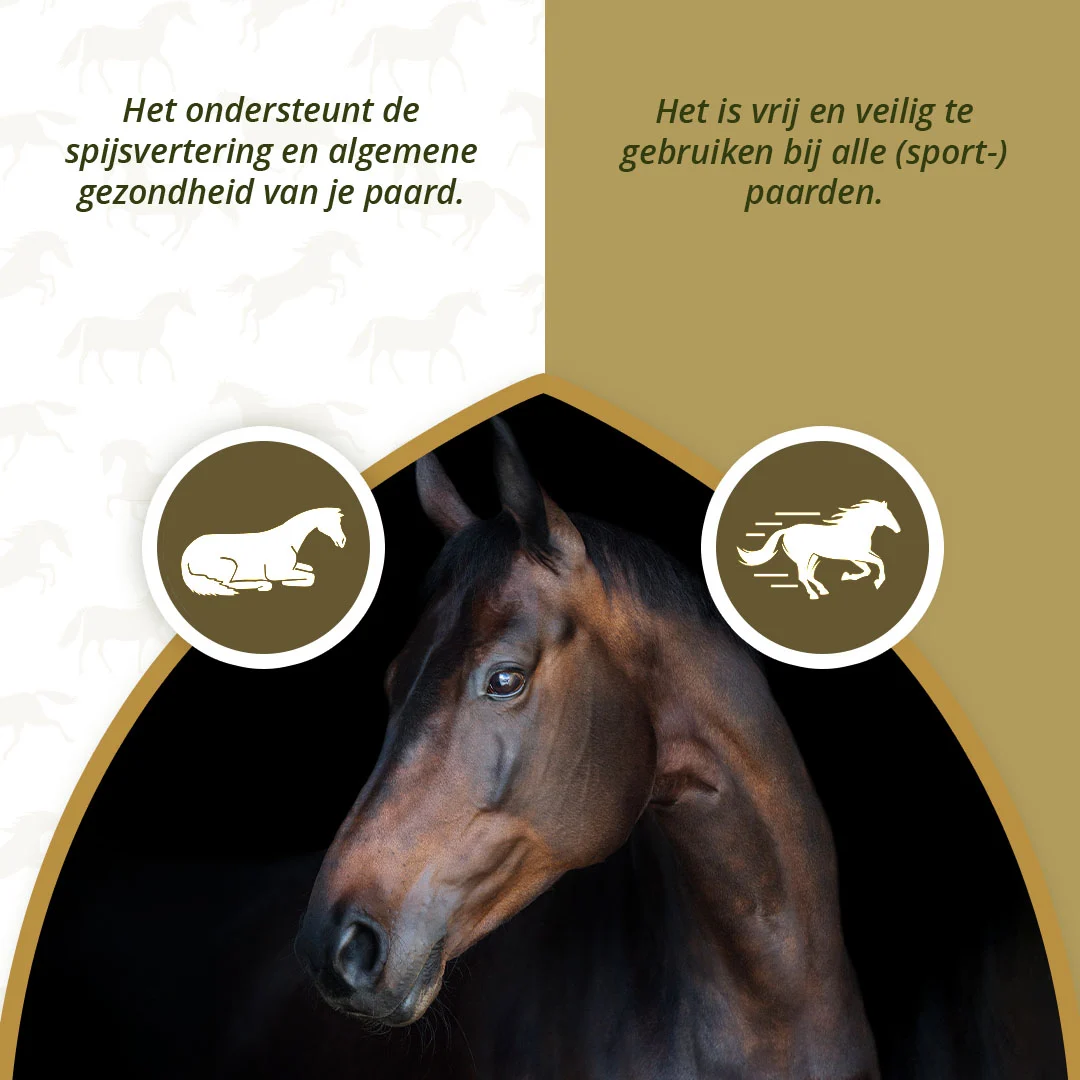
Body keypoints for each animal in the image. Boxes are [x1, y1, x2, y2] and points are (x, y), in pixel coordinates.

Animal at [181, 507, 346, 597]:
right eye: (333, 522)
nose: (343, 541)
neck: (287, 539)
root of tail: (186, 555)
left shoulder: (292, 567)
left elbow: (309, 570)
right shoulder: (277, 573)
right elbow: (311, 576)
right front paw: (288, 583)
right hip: (229, 565)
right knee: (228, 584)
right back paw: (262, 584)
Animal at [738, 500, 901, 600]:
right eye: (887, 514)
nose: (898, 530)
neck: (855, 530)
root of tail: (787, 530)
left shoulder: (856, 557)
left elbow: (870, 567)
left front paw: (846, 576)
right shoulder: (857, 555)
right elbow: (878, 563)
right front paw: (878, 582)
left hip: (813, 556)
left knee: (809, 575)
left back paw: (823, 590)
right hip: (803, 558)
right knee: (803, 576)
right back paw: (813, 595)